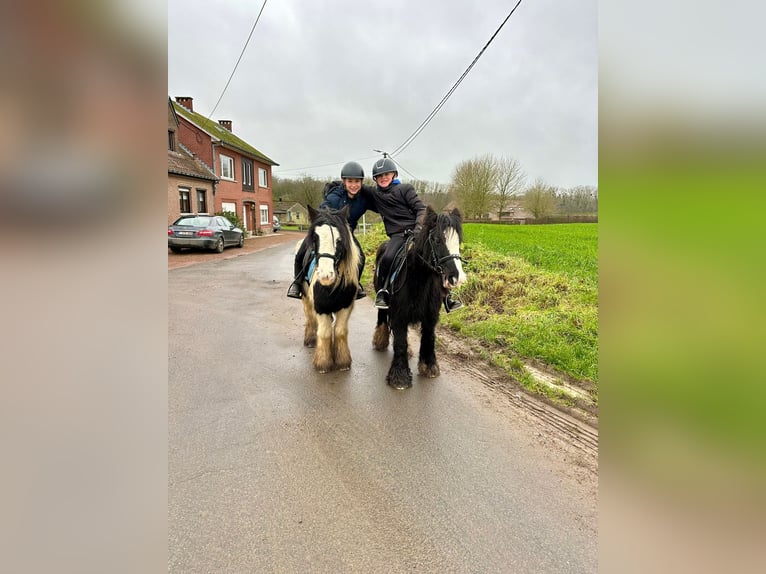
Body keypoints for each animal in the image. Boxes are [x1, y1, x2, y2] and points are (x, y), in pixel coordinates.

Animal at [298, 205, 362, 376]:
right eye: (315, 238)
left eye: (339, 241)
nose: (326, 275)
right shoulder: (320, 307)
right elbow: (325, 332)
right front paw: (323, 363)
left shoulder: (346, 306)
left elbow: (339, 331)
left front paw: (342, 361)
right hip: (306, 299)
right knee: (309, 317)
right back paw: (310, 340)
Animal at [372, 207, 468, 392]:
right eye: (437, 240)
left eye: (458, 241)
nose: (456, 277)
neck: (419, 278)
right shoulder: (400, 315)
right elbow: (400, 343)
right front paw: (400, 377)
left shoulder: (431, 316)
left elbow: (429, 338)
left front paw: (429, 367)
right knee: (382, 317)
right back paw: (380, 341)